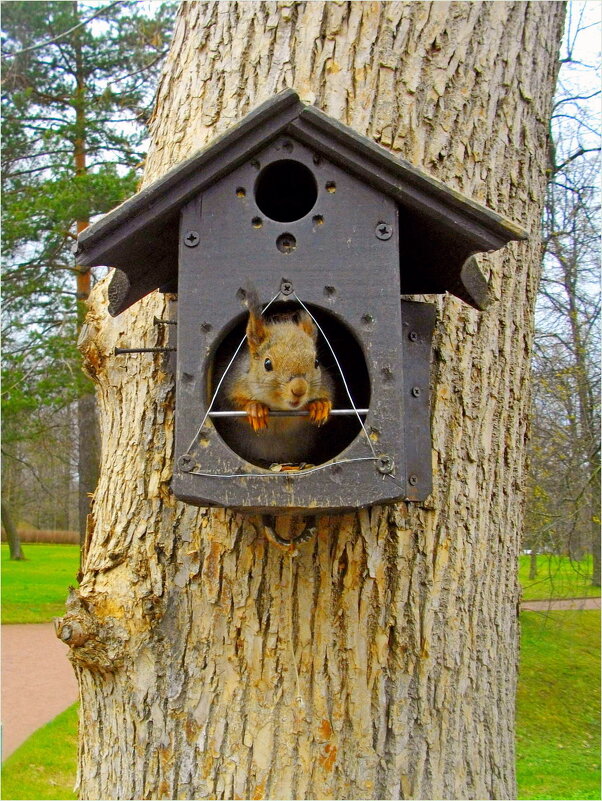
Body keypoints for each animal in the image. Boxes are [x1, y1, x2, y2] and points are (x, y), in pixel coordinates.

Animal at [216, 290, 336, 466]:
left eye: (316, 362)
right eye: (267, 364)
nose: (299, 389)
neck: (281, 409)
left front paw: (319, 405)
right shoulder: (231, 385)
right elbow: (232, 407)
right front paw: (255, 409)